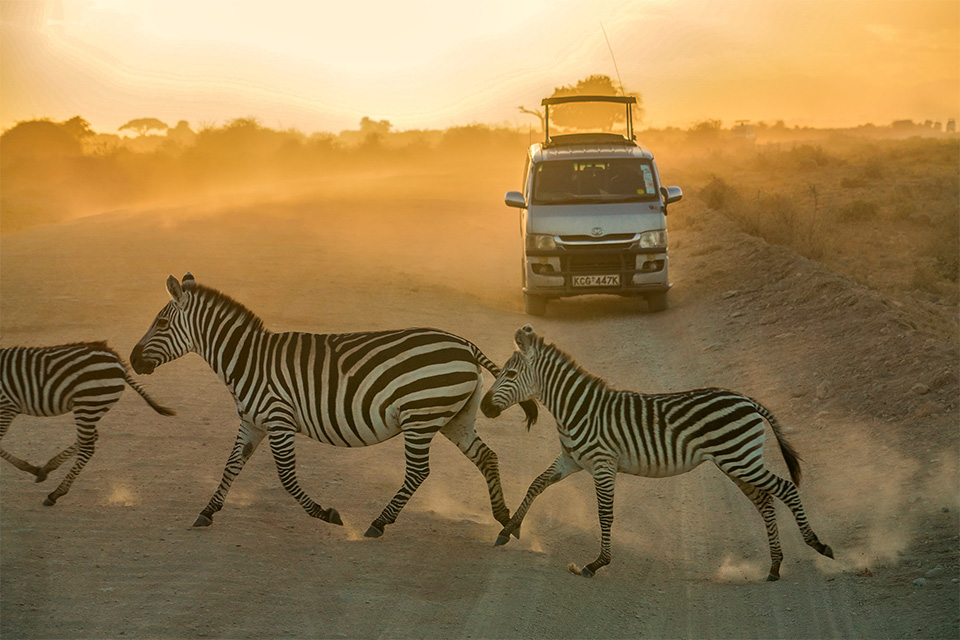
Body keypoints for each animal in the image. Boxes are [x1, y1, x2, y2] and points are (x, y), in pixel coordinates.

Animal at [0, 342, 175, 508]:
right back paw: (46, 469)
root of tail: (117, 360)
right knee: (91, 437)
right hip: (91, 407)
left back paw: (55, 493)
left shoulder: (6, 406)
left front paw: (29, 468)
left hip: (88, 403)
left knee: (88, 447)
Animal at [129, 272, 540, 536]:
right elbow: (231, 466)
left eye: (161, 323)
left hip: (420, 417)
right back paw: (504, 517)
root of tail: (464, 344)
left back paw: (379, 523)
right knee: (487, 457)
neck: (247, 360)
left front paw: (326, 514)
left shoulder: (278, 421)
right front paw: (207, 511)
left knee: (418, 472)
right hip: (455, 418)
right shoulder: (253, 422)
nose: (132, 360)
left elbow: (286, 477)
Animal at [480, 324, 832, 580]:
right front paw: (508, 530)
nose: (483, 408)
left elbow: (604, 513)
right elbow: (536, 484)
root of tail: (746, 400)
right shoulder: (570, 459)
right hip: (736, 462)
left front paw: (596, 563)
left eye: (509, 374)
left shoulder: (603, 464)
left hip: (740, 459)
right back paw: (774, 566)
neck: (578, 409)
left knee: (785, 489)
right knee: (765, 501)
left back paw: (817, 544)